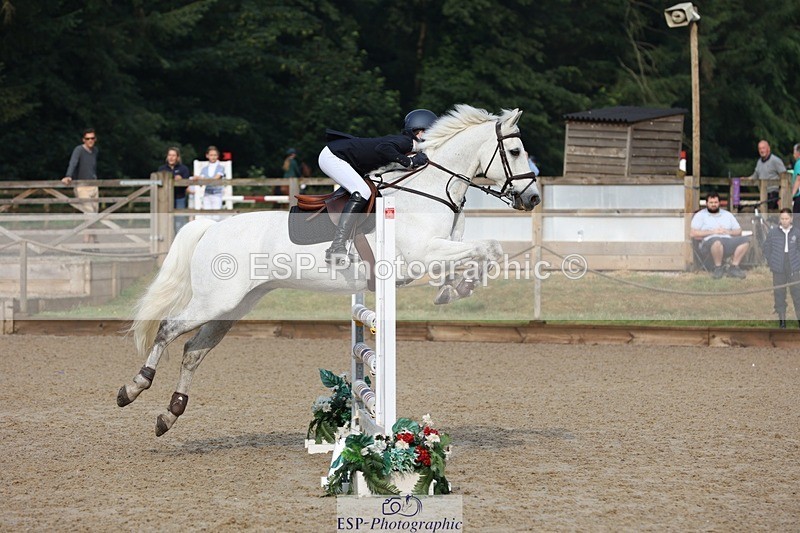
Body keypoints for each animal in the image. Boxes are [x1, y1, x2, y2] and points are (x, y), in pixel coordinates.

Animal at [117, 104, 541, 436]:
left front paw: (456, 287)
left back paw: (169, 414)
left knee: (193, 350)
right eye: (516, 150)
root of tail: (213, 226)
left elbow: (485, 250)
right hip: (215, 301)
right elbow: (486, 247)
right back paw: (133, 388)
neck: (432, 187)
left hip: (233, 306)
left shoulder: (440, 250)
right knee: (169, 328)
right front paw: (457, 288)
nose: (534, 198)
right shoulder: (421, 254)